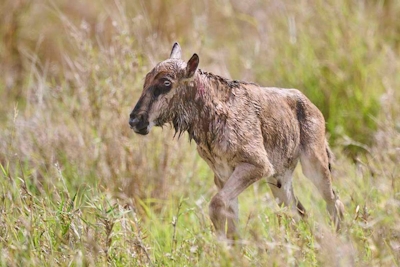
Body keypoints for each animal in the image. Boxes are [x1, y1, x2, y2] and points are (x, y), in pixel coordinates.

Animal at [130, 42, 346, 241]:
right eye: (146, 80)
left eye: (166, 83)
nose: (135, 120)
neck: (210, 119)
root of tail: (310, 105)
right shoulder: (223, 176)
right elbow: (228, 217)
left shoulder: (256, 165)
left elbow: (216, 205)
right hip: (278, 180)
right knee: (298, 210)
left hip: (314, 166)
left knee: (333, 200)